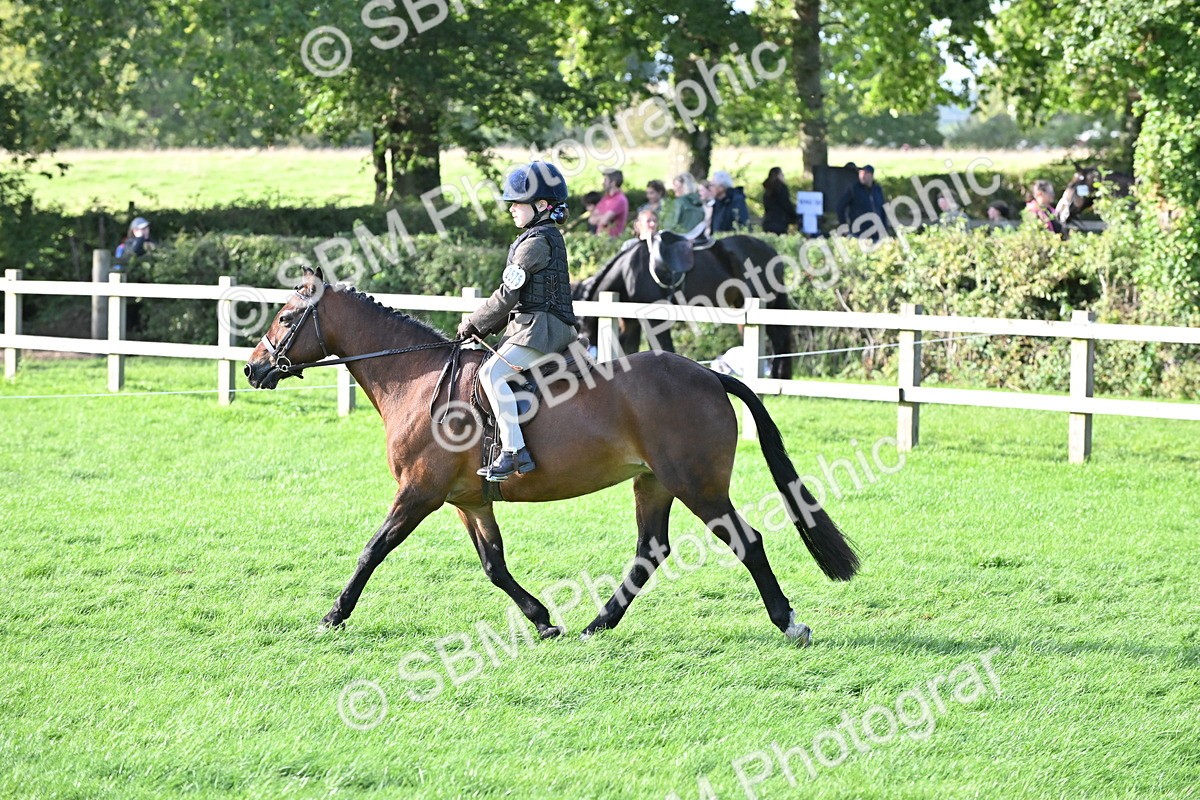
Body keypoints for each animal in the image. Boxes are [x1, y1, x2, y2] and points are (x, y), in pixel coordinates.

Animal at [243, 269, 858, 644]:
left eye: (285, 317)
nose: (253, 368)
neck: (415, 379)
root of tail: (709, 375)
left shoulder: (418, 493)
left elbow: (373, 549)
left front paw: (332, 616)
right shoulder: (469, 502)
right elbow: (494, 565)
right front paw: (542, 621)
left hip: (698, 486)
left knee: (745, 542)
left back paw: (789, 623)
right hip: (654, 483)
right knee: (650, 550)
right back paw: (596, 625)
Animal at [573, 235, 797, 379]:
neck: (629, 270)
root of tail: (771, 251)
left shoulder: (653, 319)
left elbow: (664, 347)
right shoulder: (630, 322)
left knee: (780, 339)